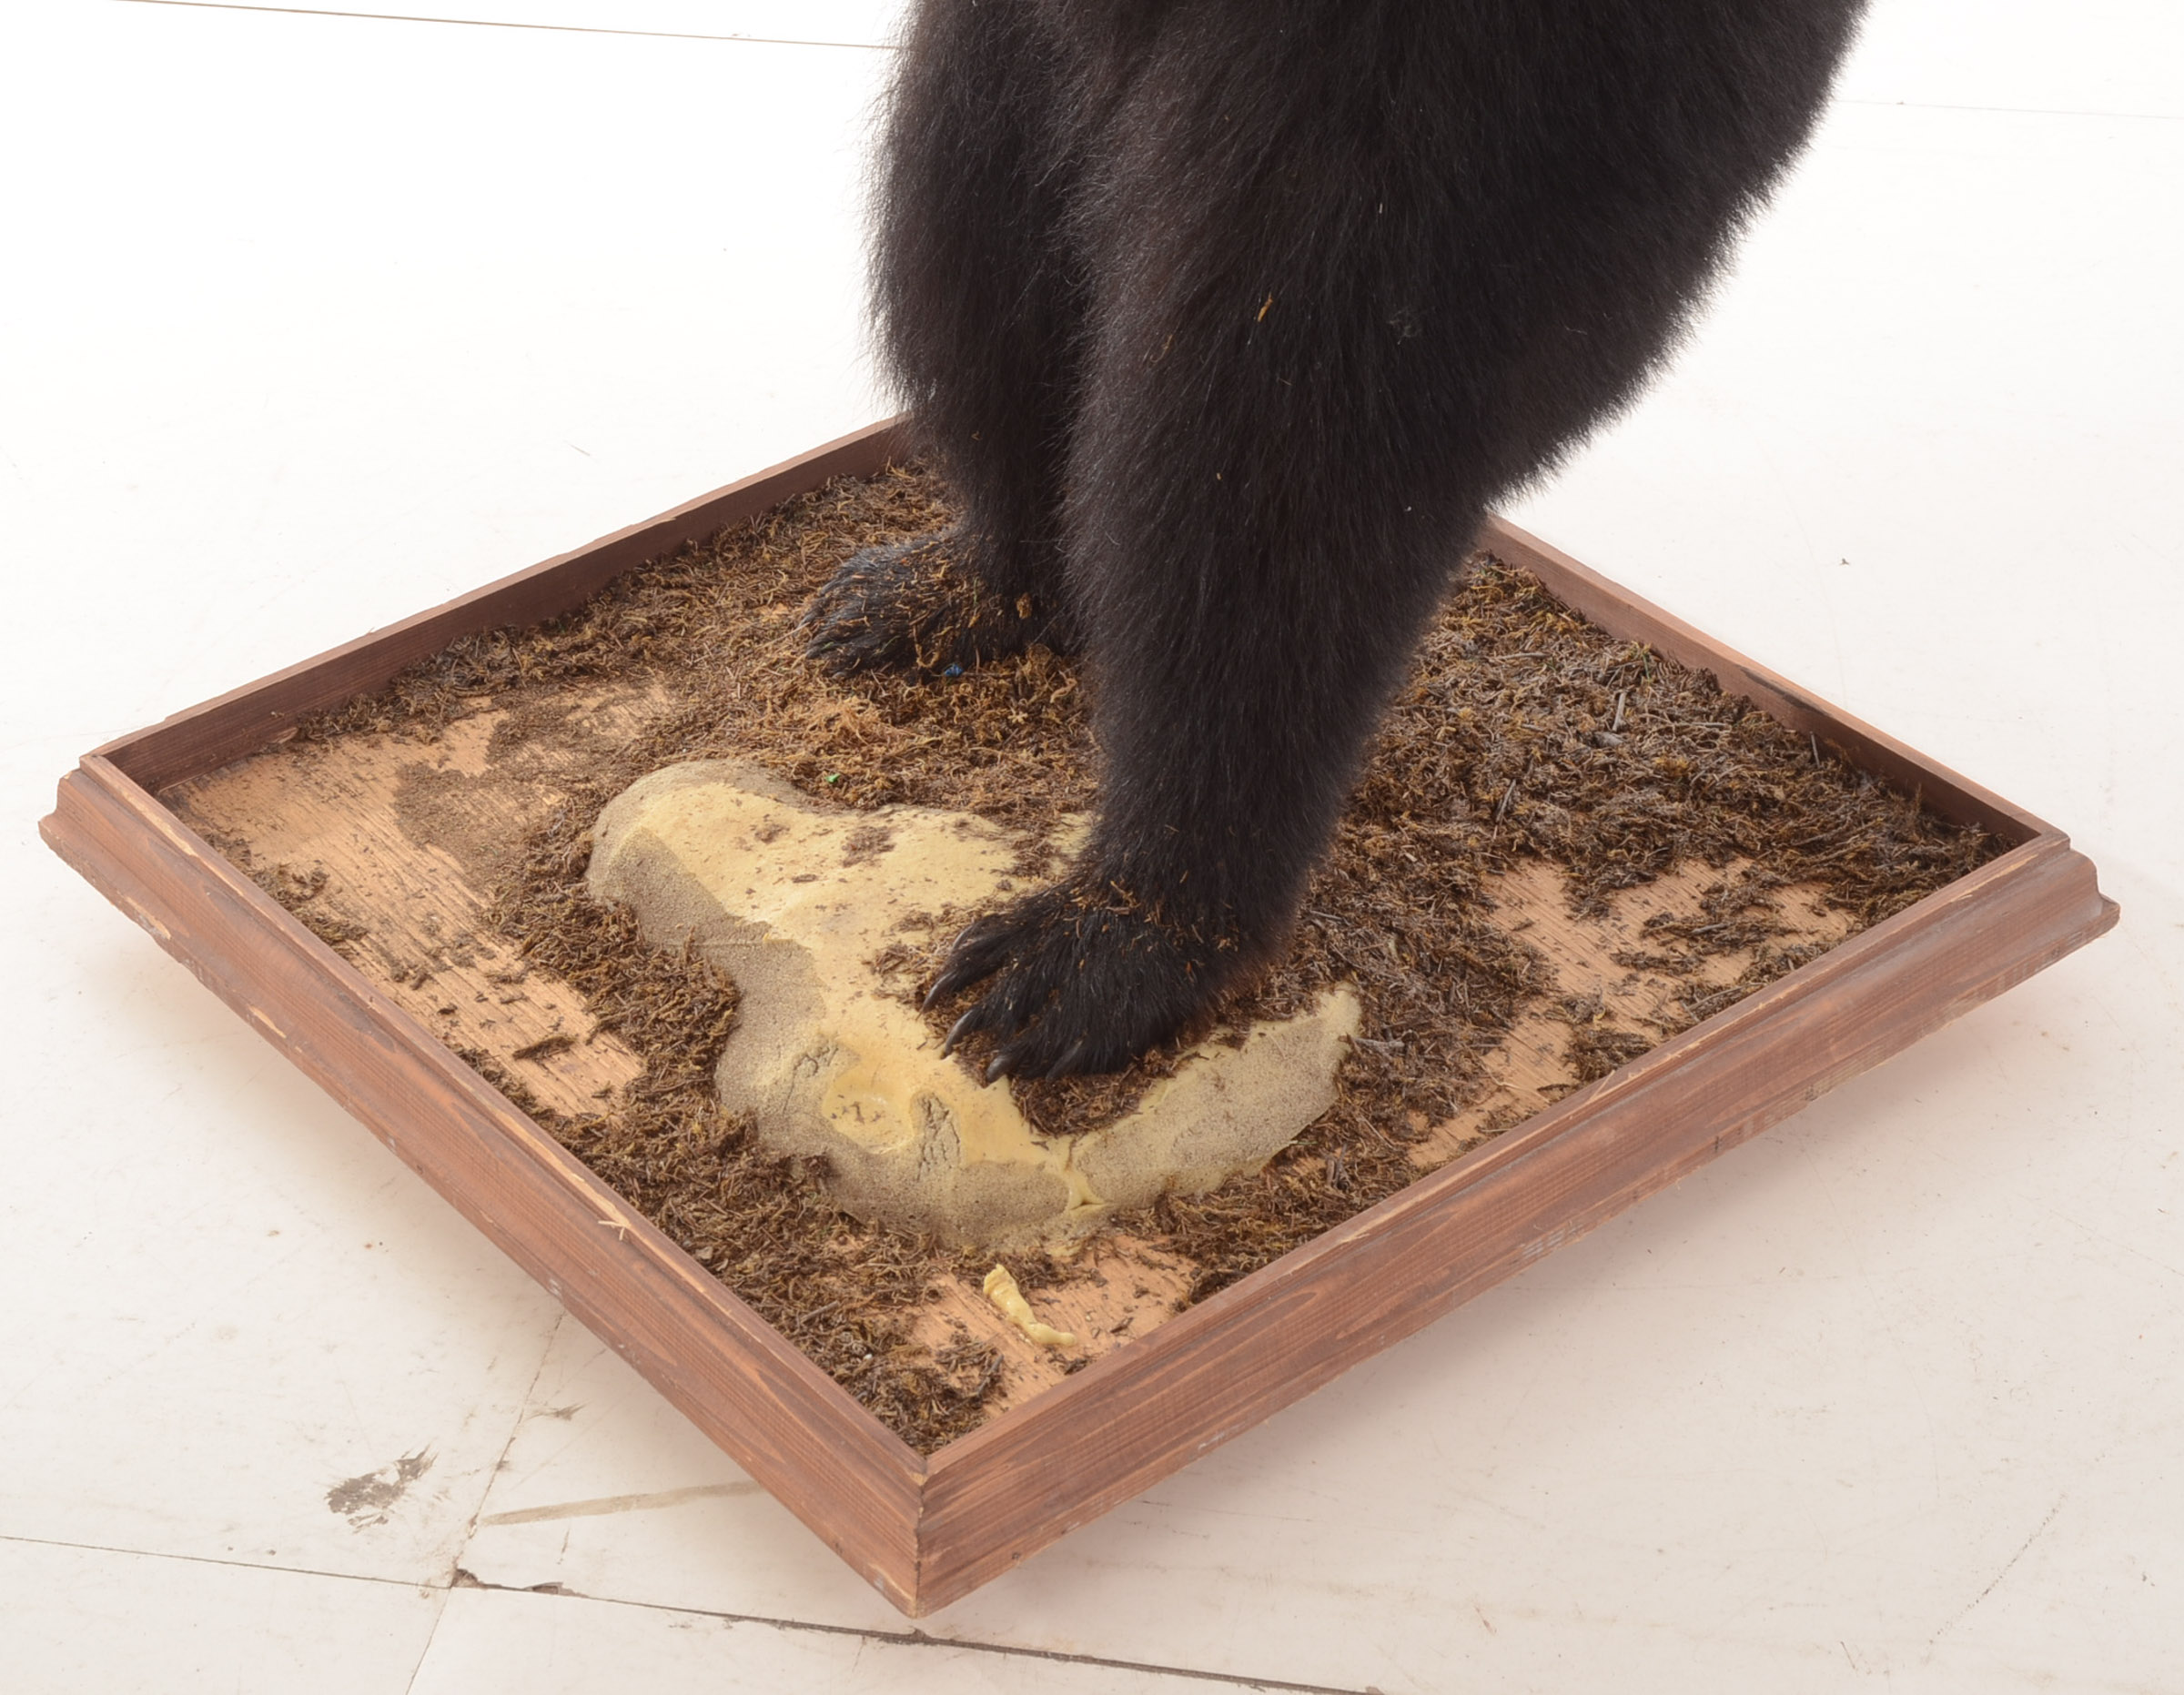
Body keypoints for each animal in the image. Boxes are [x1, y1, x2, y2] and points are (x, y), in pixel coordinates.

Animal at [800, 0, 1868, 1080]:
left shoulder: (1500, 76)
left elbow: (1298, 399)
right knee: (987, 163)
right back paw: (963, 592)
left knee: (1289, 397)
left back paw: (1128, 928)